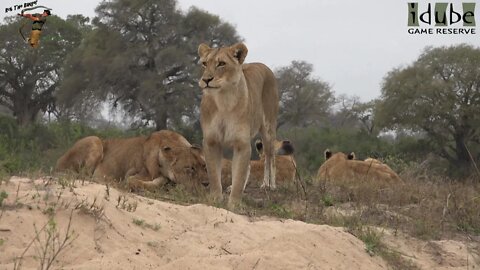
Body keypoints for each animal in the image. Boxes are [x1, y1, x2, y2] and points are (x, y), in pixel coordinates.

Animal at [55, 130, 207, 191]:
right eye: (190, 168)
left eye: (204, 166)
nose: (206, 184)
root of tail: (58, 162)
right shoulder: (133, 174)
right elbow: (134, 181)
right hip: (95, 140)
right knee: (84, 176)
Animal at [199, 42, 280, 207]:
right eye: (204, 63)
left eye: (221, 64)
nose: (206, 80)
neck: (224, 100)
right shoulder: (211, 141)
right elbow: (214, 175)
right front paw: (215, 199)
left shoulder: (242, 144)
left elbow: (239, 174)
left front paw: (234, 204)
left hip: (268, 129)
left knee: (270, 157)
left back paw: (269, 185)